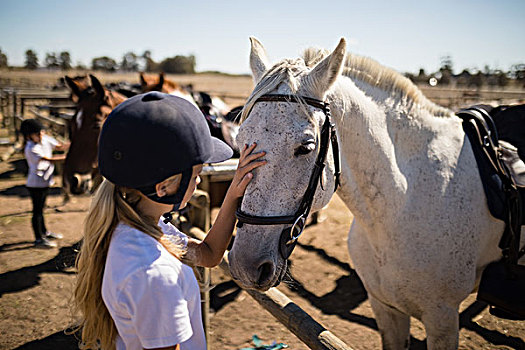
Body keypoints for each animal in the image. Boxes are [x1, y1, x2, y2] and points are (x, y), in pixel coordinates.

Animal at [229, 37, 508, 348]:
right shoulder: (384, 307)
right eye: (240, 141)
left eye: (306, 147)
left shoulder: (442, 319)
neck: (399, 207)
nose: (243, 266)